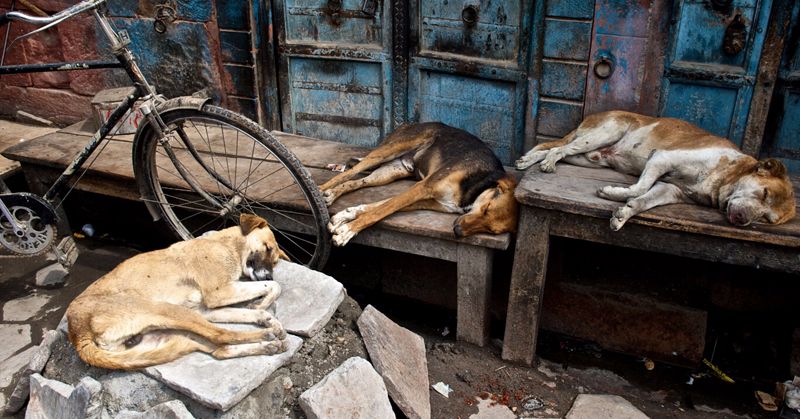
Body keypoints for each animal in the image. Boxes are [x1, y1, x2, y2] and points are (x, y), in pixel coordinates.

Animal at [66, 215, 290, 370]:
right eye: (267, 248)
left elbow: (252, 309)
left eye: (275, 262)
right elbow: (274, 286)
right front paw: (264, 305)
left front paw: (265, 315)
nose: (267, 274)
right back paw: (266, 337)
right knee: (221, 335)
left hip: (173, 333)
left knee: (219, 350)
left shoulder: (206, 310)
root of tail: (77, 331)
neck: (226, 245)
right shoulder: (218, 292)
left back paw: (268, 346)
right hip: (172, 312)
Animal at [318, 121, 520, 246]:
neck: (478, 185)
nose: (457, 231)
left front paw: (344, 217)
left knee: (357, 182)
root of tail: (414, 122)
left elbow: (378, 207)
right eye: (486, 208)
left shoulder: (428, 201)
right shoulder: (422, 188)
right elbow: (379, 211)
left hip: (389, 173)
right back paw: (321, 190)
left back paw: (332, 194)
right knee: (350, 172)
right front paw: (347, 231)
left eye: (490, 230)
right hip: (389, 150)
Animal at [516, 110, 796, 230]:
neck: (724, 178)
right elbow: (639, 187)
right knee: (557, 149)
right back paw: (544, 163)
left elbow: (643, 200)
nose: (741, 219)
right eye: (764, 193)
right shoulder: (661, 158)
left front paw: (624, 212)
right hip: (603, 135)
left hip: (588, 157)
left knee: (554, 150)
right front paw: (611, 193)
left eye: (767, 219)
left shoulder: (670, 189)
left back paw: (528, 161)